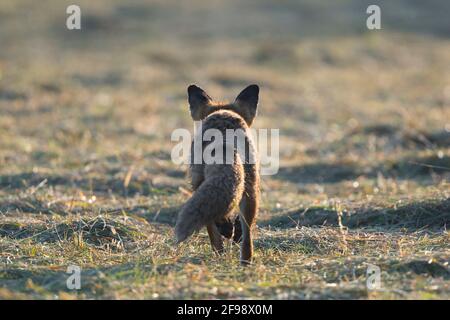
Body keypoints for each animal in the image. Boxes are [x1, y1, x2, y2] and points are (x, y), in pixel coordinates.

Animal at [175, 84, 260, 264]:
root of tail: (223, 140)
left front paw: (226, 230)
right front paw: (233, 231)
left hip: (201, 183)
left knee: (213, 231)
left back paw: (220, 254)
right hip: (251, 190)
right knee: (247, 237)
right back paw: (245, 262)